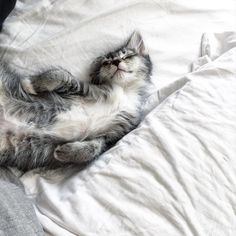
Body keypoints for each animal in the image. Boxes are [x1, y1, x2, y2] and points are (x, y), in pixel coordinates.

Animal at [0, 31, 153, 171]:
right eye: (106, 62)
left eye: (126, 56)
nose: (116, 61)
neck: (124, 92)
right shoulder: (83, 89)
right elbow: (60, 75)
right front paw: (31, 84)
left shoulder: (115, 135)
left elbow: (95, 148)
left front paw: (67, 152)